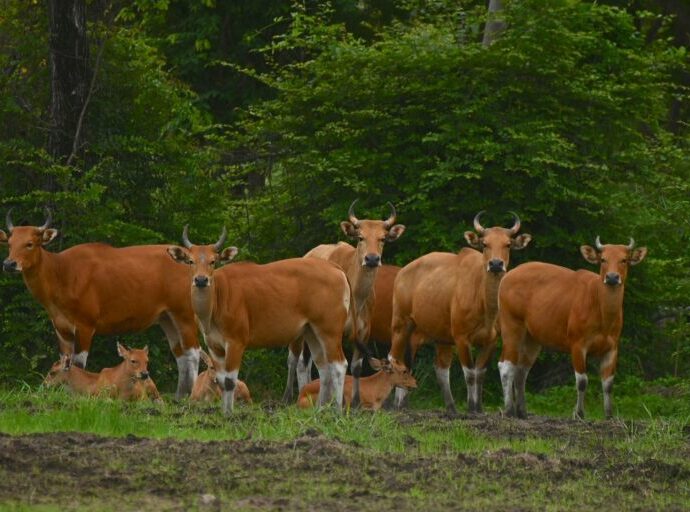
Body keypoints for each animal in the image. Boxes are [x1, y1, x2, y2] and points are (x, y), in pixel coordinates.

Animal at [0, 209, 201, 399]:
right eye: (9, 244)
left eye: (30, 244)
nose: (9, 264)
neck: (61, 273)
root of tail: (191, 260)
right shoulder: (61, 328)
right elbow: (63, 360)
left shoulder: (85, 325)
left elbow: (77, 363)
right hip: (167, 318)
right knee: (181, 355)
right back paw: (179, 396)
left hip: (185, 314)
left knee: (193, 353)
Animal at [167, 226, 351, 415]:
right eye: (190, 261)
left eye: (213, 261)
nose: (201, 280)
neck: (218, 300)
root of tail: (335, 268)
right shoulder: (214, 346)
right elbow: (221, 380)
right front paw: (224, 412)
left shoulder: (236, 342)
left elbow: (230, 381)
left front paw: (229, 414)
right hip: (311, 332)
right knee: (324, 368)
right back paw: (321, 409)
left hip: (330, 330)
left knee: (339, 365)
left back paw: (337, 410)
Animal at [282, 201, 405, 407]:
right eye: (361, 237)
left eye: (382, 238)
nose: (372, 259)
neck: (356, 296)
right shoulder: (334, 330)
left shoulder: (363, 333)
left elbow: (356, 367)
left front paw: (355, 401)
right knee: (295, 359)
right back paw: (290, 395)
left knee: (306, 362)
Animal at [388, 211, 532, 414]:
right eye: (485, 244)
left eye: (508, 244)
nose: (496, 264)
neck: (485, 306)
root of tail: (402, 272)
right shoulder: (461, 338)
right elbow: (470, 373)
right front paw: (471, 408)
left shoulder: (490, 341)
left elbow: (480, 374)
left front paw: (478, 408)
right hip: (401, 323)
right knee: (395, 358)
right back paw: (396, 405)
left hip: (436, 335)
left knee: (436, 367)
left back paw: (449, 407)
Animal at [498, 237, 647, 419]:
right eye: (603, 259)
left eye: (624, 260)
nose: (612, 277)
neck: (601, 314)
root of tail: (508, 276)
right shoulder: (577, 344)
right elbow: (582, 381)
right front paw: (579, 413)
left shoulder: (612, 348)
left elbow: (608, 383)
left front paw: (609, 415)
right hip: (511, 325)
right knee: (506, 365)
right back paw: (509, 410)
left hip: (532, 338)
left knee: (521, 371)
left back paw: (522, 412)